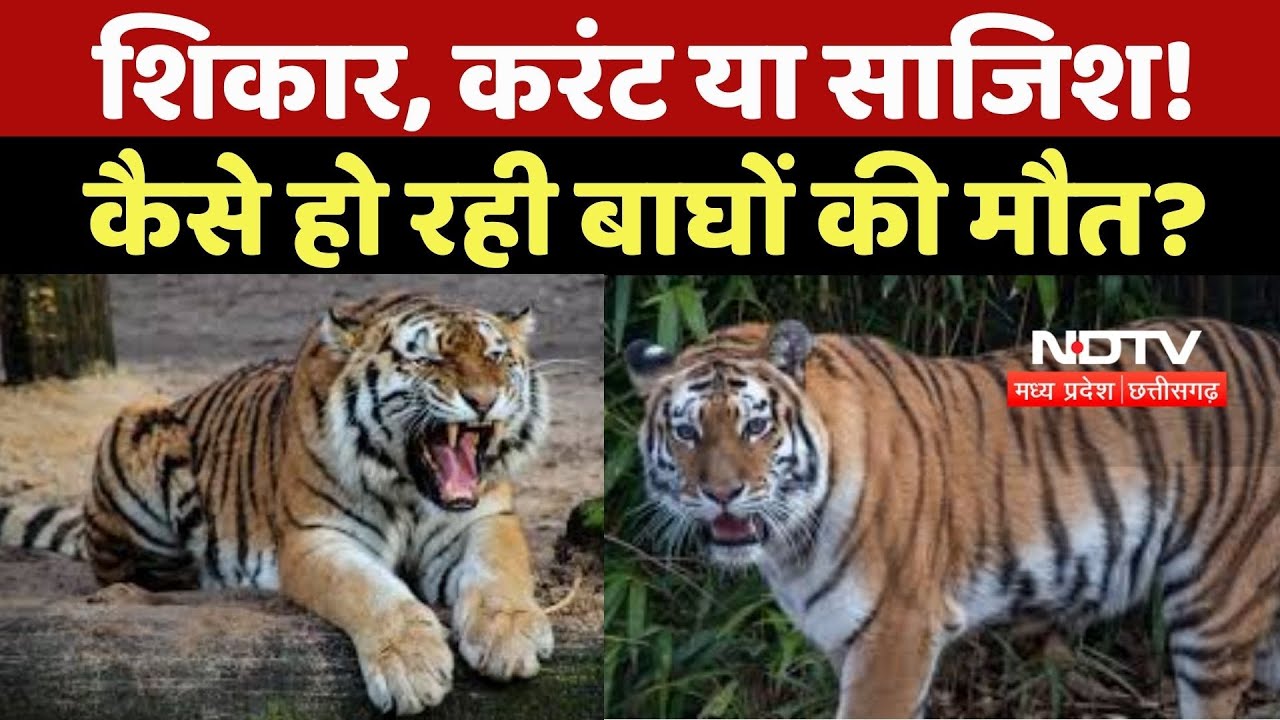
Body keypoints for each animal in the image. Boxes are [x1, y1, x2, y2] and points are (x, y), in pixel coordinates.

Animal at [0, 289, 554, 716]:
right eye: (428, 359)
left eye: (496, 357)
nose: (483, 400)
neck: (408, 488)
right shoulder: (317, 537)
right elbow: (370, 591)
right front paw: (410, 666)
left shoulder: (484, 518)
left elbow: (499, 569)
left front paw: (510, 635)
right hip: (139, 419)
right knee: (133, 574)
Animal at [624, 315, 1280, 719]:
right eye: (687, 432)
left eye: (755, 425)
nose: (722, 493)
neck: (793, 544)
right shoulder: (849, 639)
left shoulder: (896, 632)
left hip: (1216, 603)